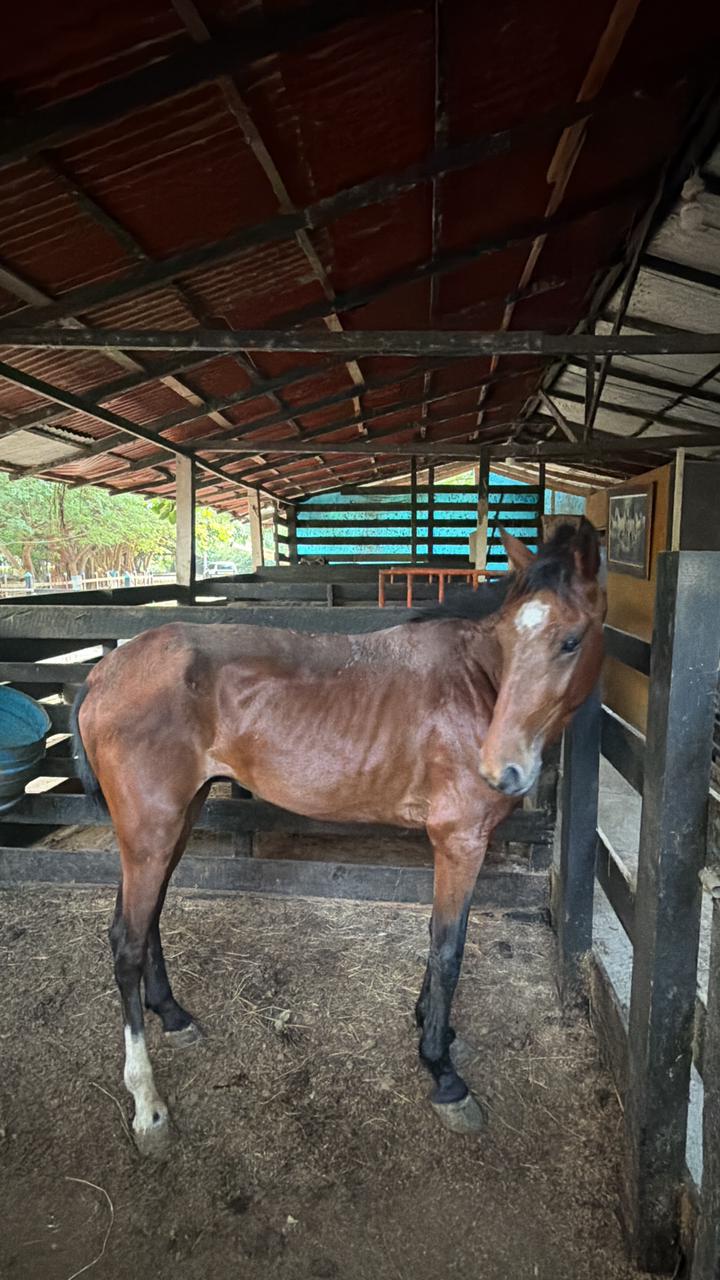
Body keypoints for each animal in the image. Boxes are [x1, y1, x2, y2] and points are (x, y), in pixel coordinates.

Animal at [71, 519, 605, 1155]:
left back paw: (174, 1016)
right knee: (125, 942)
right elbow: (448, 948)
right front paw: (442, 1071)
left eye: (571, 640)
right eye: (506, 638)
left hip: (175, 821)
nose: (502, 769)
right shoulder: (460, 841)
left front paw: (434, 1028)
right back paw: (147, 1104)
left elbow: (438, 937)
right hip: (151, 829)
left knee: (146, 918)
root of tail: (102, 673)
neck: (475, 684)